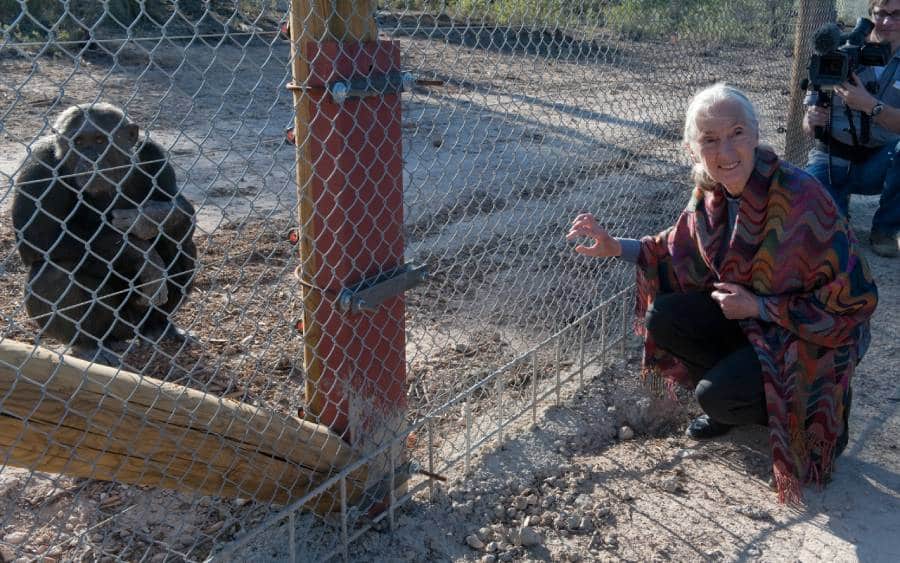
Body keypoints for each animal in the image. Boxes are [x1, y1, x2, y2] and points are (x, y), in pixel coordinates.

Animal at [11, 102, 197, 364]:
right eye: (78, 142)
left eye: (100, 140)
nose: (90, 158)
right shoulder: (39, 165)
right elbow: (39, 237)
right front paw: (144, 256)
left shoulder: (155, 153)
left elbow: (180, 205)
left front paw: (148, 219)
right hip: (115, 325)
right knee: (53, 273)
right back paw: (88, 345)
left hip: (136, 319)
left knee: (182, 242)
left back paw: (159, 327)